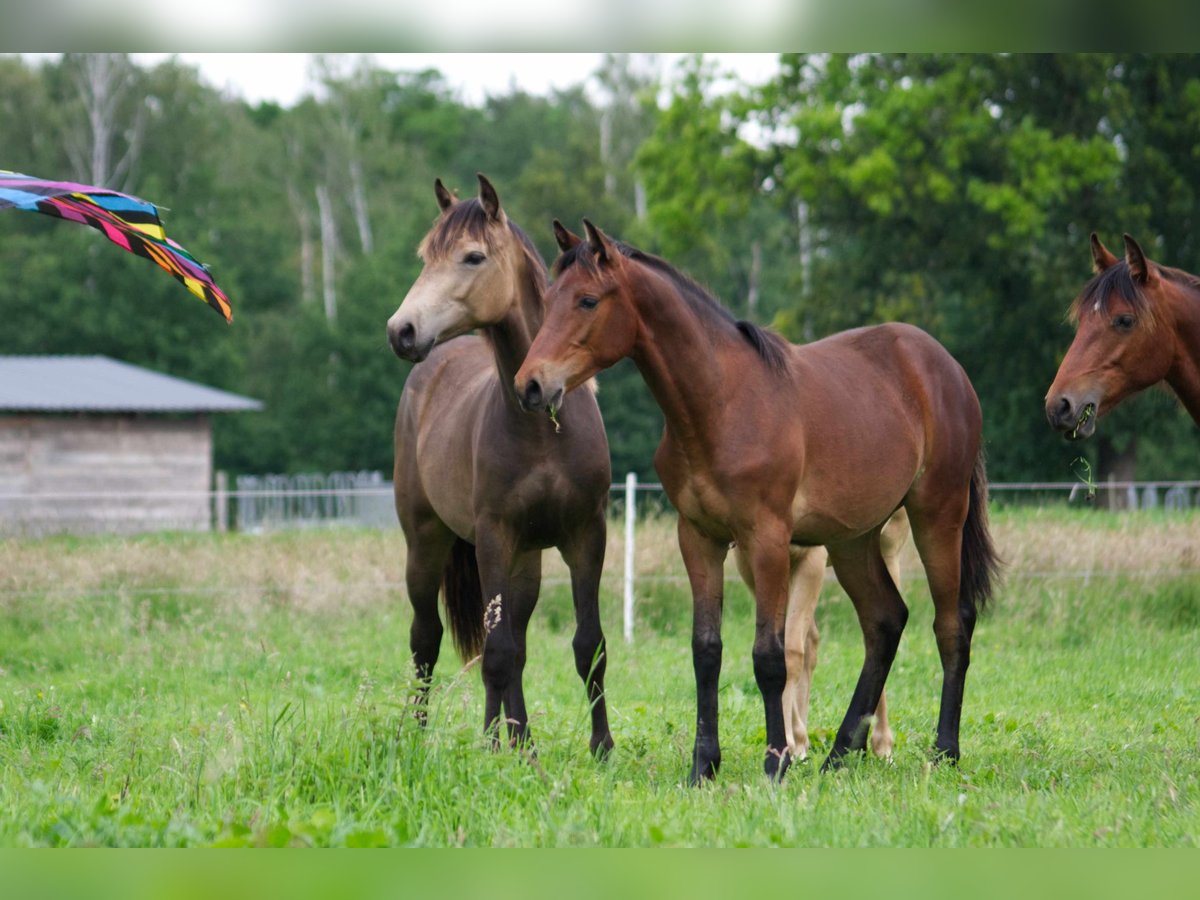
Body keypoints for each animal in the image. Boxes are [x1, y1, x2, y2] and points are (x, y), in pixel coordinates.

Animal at [384, 174, 614, 753]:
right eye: (426, 255)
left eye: (472, 256)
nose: (402, 331)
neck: (542, 424)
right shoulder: (493, 537)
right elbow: (497, 652)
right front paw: (506, 749)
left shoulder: (587, 536)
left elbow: (588, 646)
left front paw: (601, 747)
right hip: (426, 544)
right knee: (428, 640)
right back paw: (429, 736)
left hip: (525, 561)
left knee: (513, 642)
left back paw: (508, 735)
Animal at [511, 220, 998, 782]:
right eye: (549, 300)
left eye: (588, 300)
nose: (530, 385)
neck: (722, 405)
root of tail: (946, 366)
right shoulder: (698, 538)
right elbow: (706, 650)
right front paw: (704, 765)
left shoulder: (766, 540)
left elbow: (770, 656)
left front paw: (776, 762)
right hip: (853, 540)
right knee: (885, 621)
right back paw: (838, 754)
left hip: (937, 514)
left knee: (951, 623)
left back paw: (944, 751)